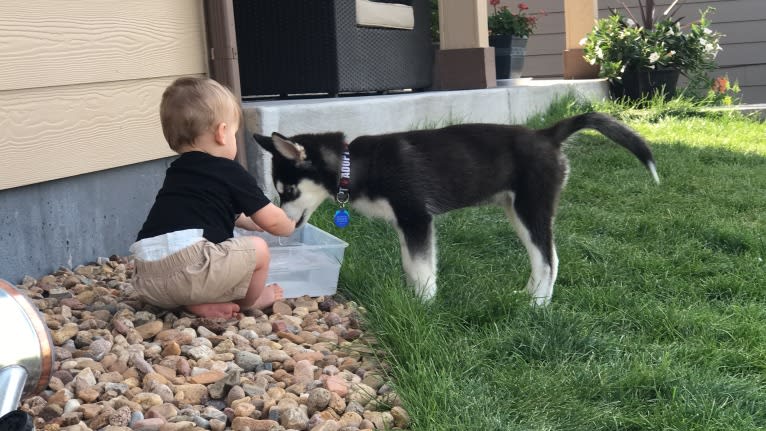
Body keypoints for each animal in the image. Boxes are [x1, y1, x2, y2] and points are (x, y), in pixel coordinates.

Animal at [254, 113, 660, 306]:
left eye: (288, 190)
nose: (281, 228)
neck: (351, 165)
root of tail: (547, 133)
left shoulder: (417, 217)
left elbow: (422, 270)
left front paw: (424, 306)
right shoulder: (406, 226)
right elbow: (413, 266)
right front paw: (413, 298)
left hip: (532, 208)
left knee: (549, 260)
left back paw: (538, 306)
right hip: (516, 211)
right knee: (540, 258)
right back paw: (526, 295)